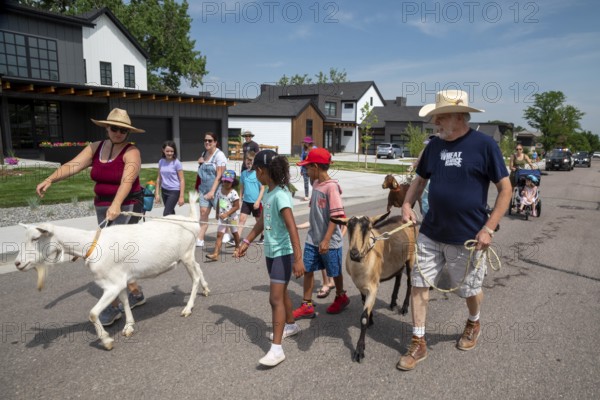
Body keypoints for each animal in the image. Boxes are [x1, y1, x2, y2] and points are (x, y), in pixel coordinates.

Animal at [14, 191, 209, 350]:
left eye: (36, 238)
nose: (17, 263)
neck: (91, 245)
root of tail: (191, 220)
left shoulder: (111, 285)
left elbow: (93, 314)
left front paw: (107, 341)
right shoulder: (119, 280)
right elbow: (124, 301)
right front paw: (129, 327)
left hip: (186, 254)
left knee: (194, 278)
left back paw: (188, 308)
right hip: (187, 256)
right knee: (199, 269)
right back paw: (206, 289)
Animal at [328, 212, 418, 362]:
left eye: (369, 227)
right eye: (348, 227)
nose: (354, 253)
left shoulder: (373, 287)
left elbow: (363, 318)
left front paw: (359, 351)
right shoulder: (361, 286)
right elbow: (365, 304)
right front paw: (371, 320)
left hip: (411, 258)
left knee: (409, 282)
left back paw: (404, 308)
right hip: (398, 261)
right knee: (398, 276)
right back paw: (393, 302)